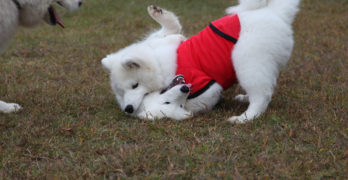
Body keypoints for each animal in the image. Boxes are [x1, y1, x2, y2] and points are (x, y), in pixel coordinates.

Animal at [102, 0, 300, 123]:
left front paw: (158, 13)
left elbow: (171, 30)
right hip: (258, 63)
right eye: (121, 93)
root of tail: (278, 15)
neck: (158, 63)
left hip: (247, 61)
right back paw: (245, 100)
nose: (128, 109)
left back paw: (244, 118)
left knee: (262, 95)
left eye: (134, 85)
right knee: (265, 89)